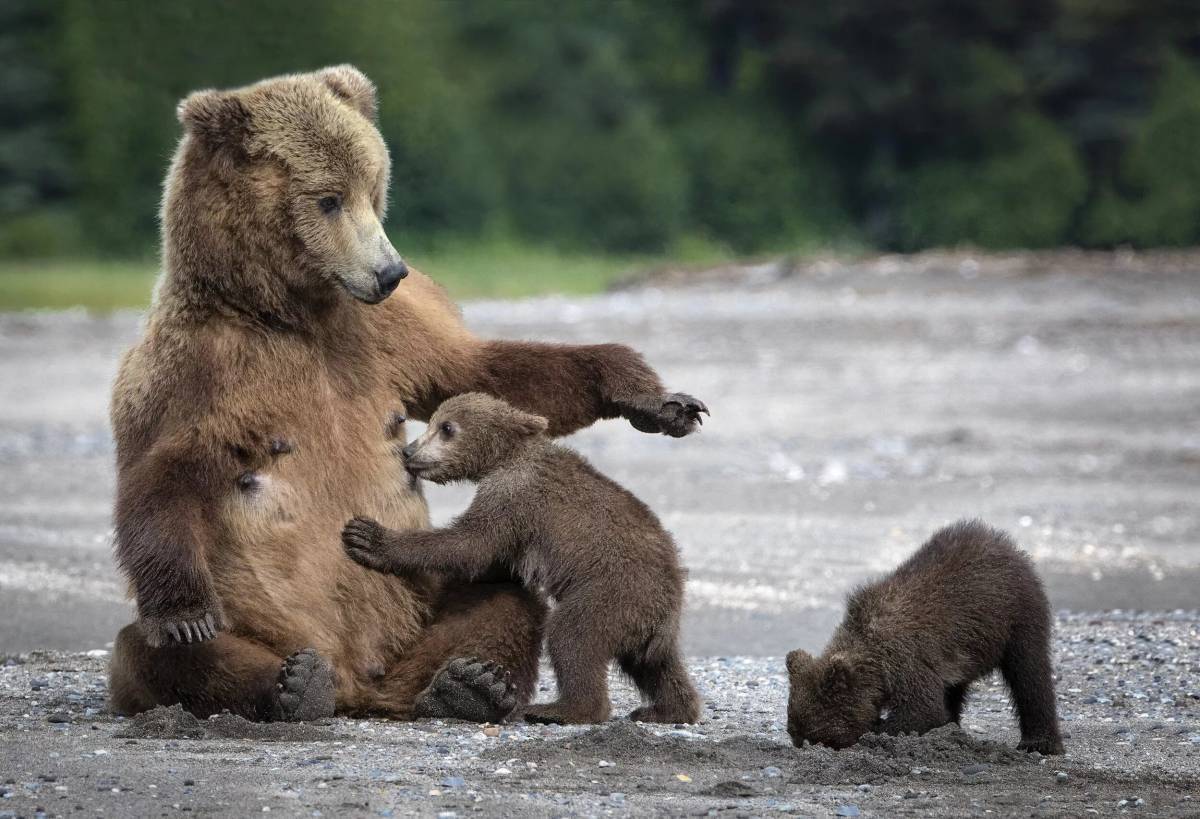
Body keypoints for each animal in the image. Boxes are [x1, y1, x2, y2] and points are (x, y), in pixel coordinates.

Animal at [340, 391, 700, 725]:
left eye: (446, 428)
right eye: (434, 422)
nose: (409, 451)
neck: (504, 457)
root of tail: (669, 605)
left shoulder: (512, 496)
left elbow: (469, 544)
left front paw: (367, 538)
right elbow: (489, 559)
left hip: (613, 592)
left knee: (572, 635)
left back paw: (558, 709)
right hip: (645, 621)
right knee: (657, 667)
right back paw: (666, 710)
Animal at [787, 518, 1060, 749]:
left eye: (815, 737)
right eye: (795, 734)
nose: (803, 744)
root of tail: (1005, 543)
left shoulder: (905, 658)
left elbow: (922, 709)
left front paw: (878, 729)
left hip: (1016, 616)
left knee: (1029, 674)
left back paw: (1039, 743)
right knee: (955, 687)